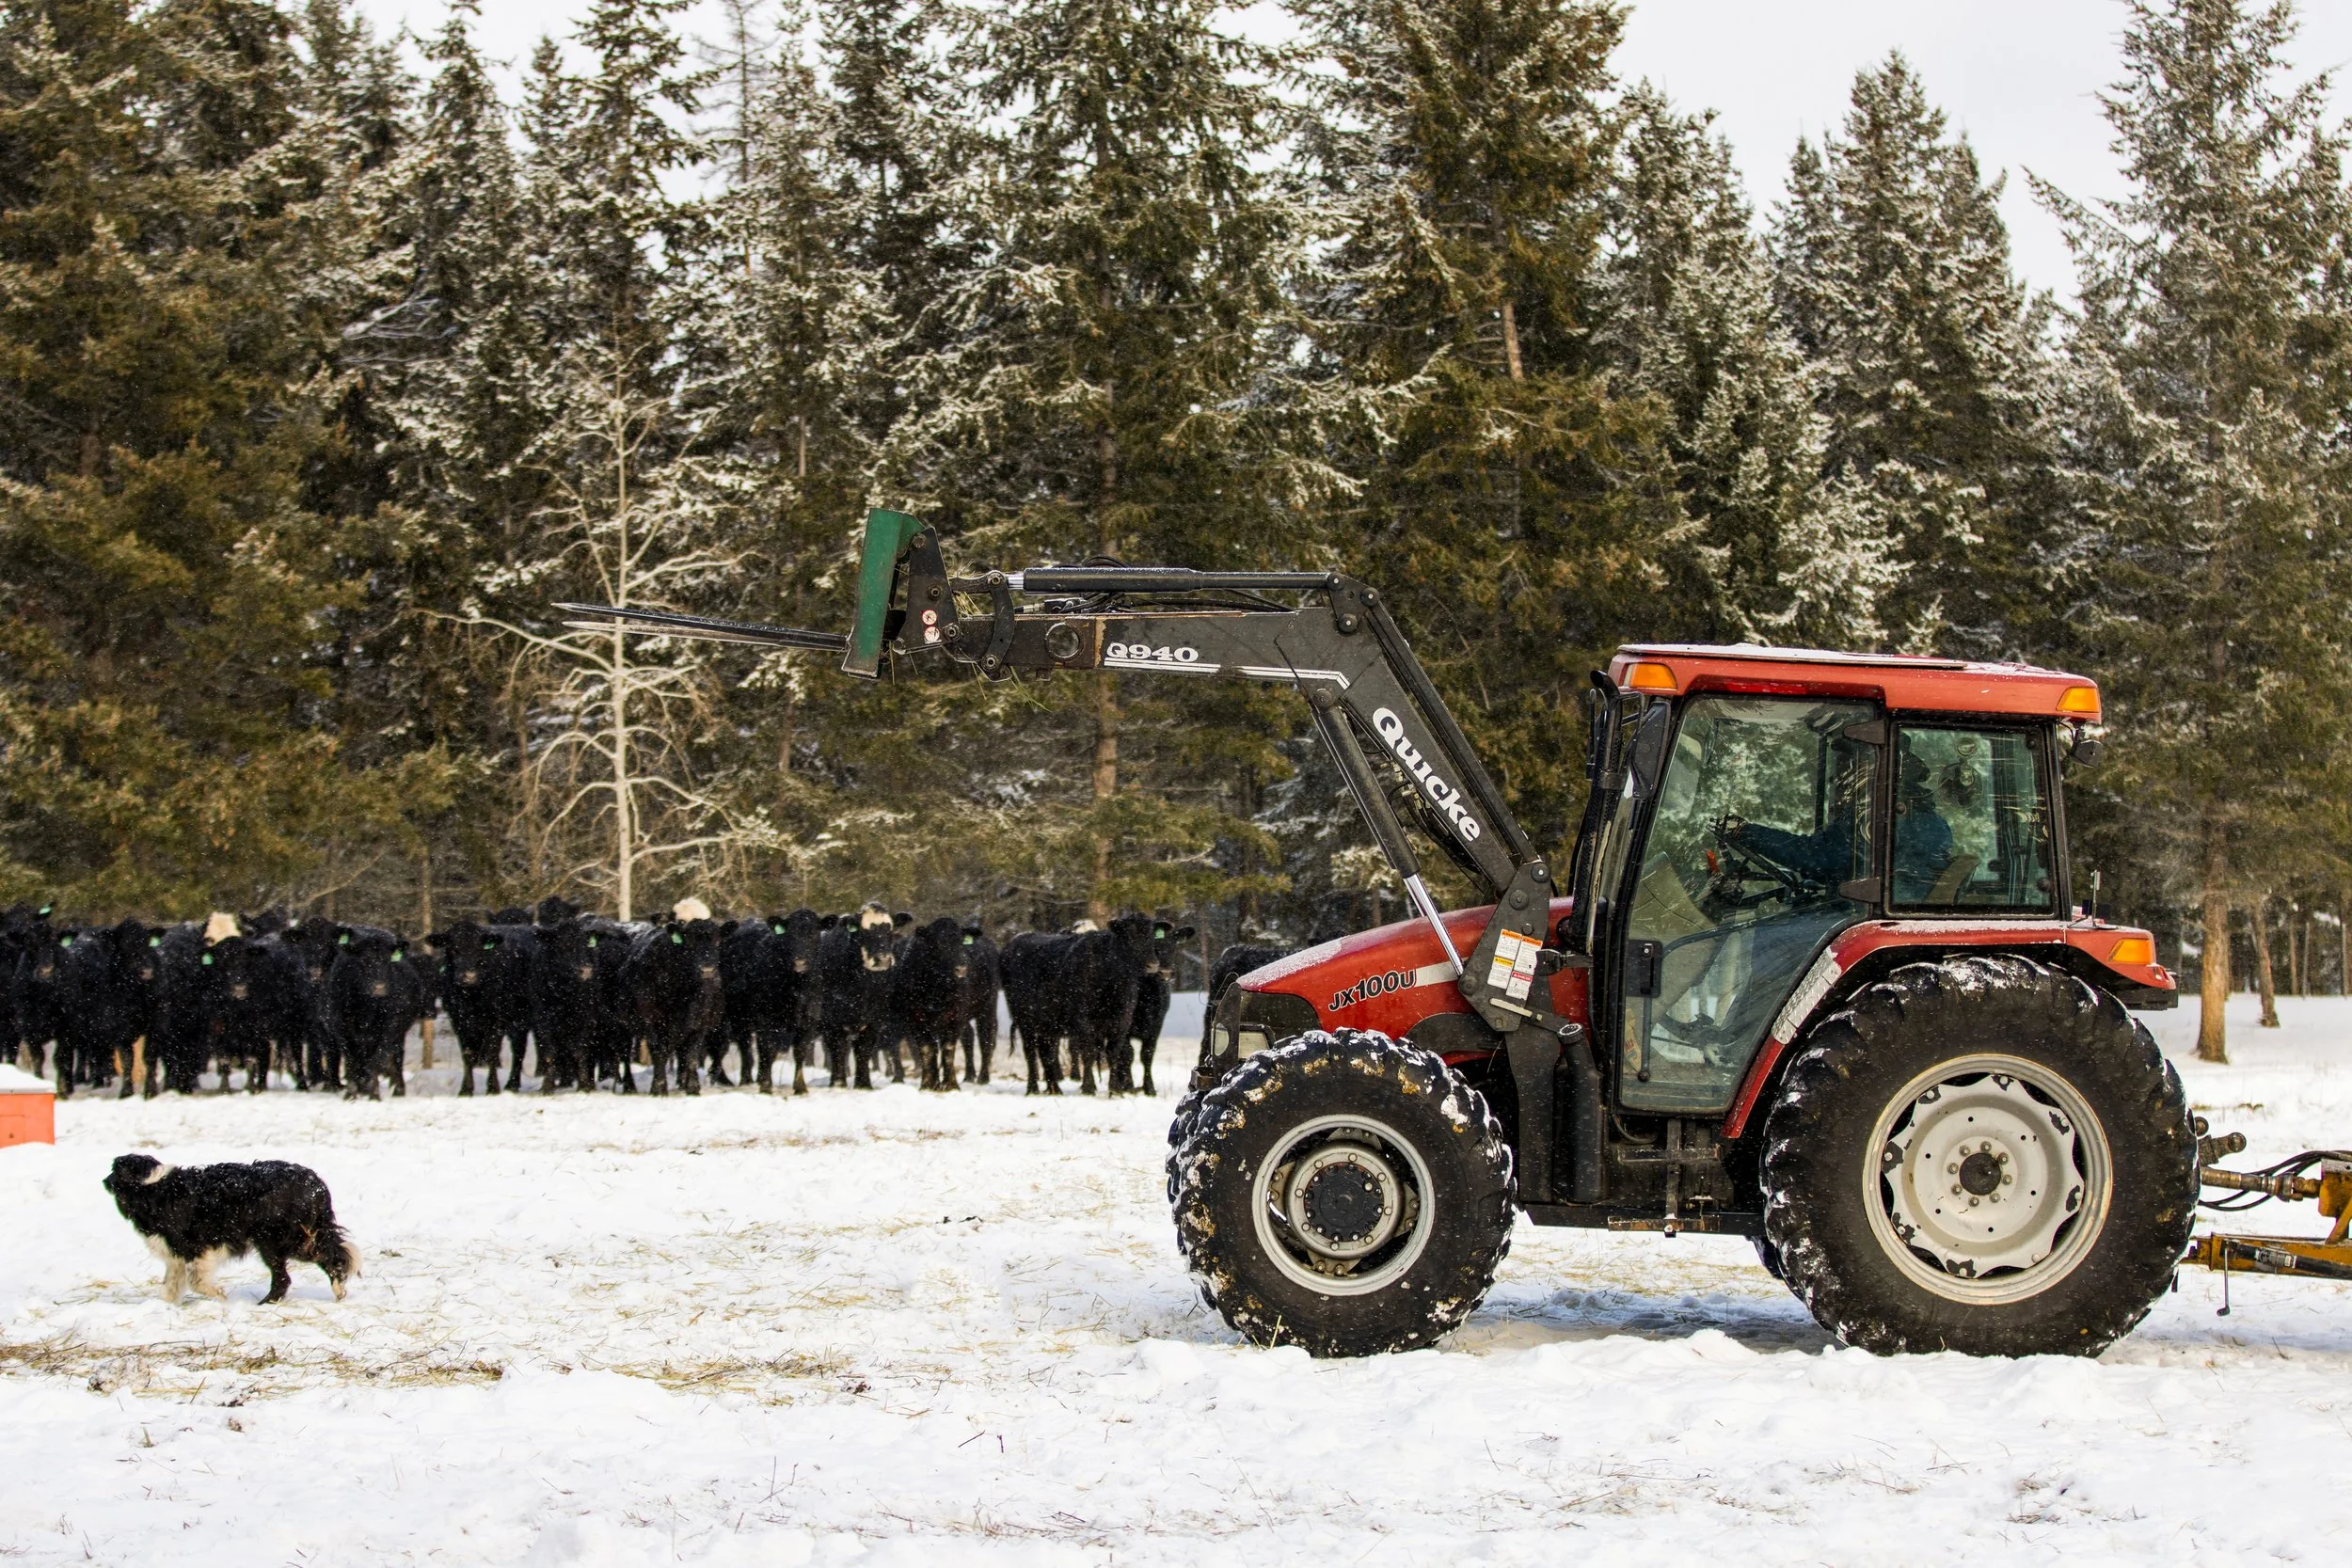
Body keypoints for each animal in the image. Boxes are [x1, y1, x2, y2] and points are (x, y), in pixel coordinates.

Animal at [327, 926, 427, 1101]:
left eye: (388, 961)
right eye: (363, 960)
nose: (379, 988)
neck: (366, 1009)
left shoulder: (389, 1028)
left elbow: (376, 1060)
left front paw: (373, 1093)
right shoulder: (342, 1028)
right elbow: (351, 1061)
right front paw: (351, 1094)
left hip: (399, 1033)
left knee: (396, 1057)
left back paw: (398, 1090)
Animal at [431, 918, 539, 1096]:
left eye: (479, 948)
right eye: (453, 948)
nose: (469, 976)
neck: (471, 997)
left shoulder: (497, 1018)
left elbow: (492, 1052)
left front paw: (493, 1088)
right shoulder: (458, 1019)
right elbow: (468, 1054)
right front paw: (465, 1089)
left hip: (522, 1018)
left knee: (519, 1049)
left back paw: (512, 1084)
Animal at [624, 916, 727, 1095]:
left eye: (717, 940)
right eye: (690, 942)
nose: (707, 970)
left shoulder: (699, 1024)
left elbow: (692, 1056)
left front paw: (692, 1089)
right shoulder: (651, 1021)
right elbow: (659, 1053)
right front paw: (659, 1089)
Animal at [817, 904, 908, 1090]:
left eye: (890, 931)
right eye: (863, 932)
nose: (883, 959)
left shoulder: (875, 1020)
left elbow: (864, 1050)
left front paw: (864, 1084)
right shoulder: (832, 1020)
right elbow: (839, 1049)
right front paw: (838, 1082)